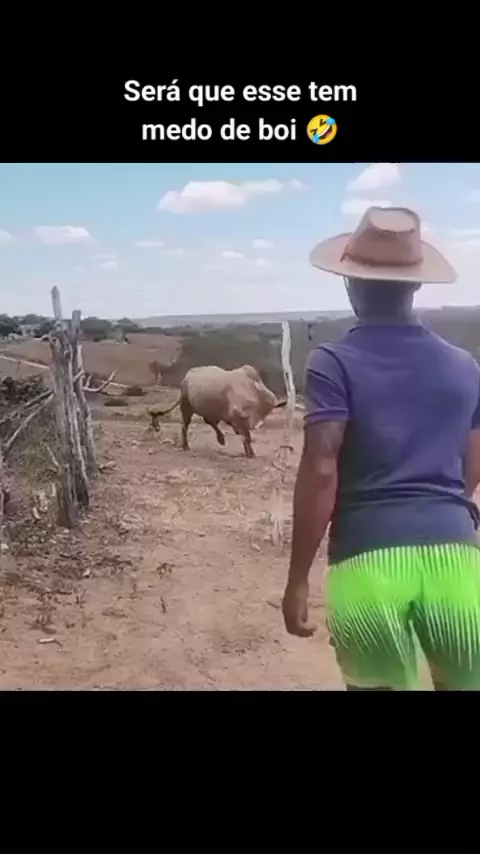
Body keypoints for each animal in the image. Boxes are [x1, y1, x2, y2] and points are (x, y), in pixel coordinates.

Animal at [149, 365, 286, 458]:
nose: (255, 424)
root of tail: (186, 377)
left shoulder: (236, 418)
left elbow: (245, 435)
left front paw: (249, 452)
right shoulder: (238, 415)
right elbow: (246, 436)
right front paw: (250, 454)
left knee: (209, 420)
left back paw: (221, 439)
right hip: (186, 401)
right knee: (186, 423)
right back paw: (186, 446)